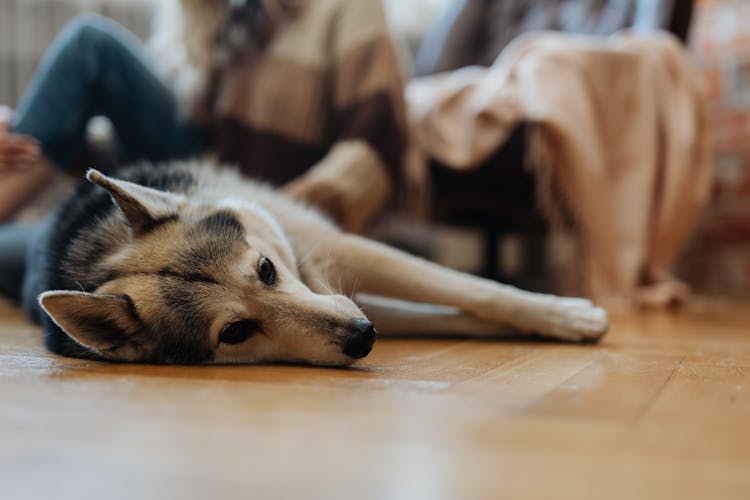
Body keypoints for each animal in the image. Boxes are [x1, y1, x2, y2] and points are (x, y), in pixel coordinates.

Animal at [29, 161, 612, 368]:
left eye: (266, 269)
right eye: (235, 332)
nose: (363, 337)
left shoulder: (341, 256)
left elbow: (472, 289)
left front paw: (564, 314)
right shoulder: (349, 299)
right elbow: (453, 311)